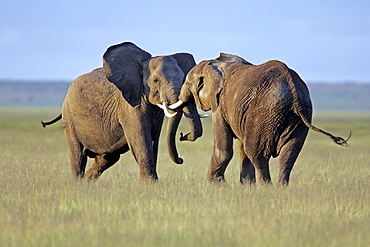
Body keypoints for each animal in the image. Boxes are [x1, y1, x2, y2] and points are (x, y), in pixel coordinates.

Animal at [42, 42, 204, 181]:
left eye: (184, 79)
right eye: (156, 80)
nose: (183, 135)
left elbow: (153, 140)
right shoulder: (129, 106)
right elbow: (141, 138)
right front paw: (150, 184)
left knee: (107, 158)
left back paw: (86, 183)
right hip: (69, 118)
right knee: (78, 155)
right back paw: (78, 184)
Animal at [172, 53, 348, 185]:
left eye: (187, 83)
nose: (182, 135)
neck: (215, 64)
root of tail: (293, 89)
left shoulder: (220, 105)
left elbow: (224, 149)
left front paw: (218, 185)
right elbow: (241, 148)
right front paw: (246, 187)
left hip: (264, 113)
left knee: (257, 153)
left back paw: (266, 189)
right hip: (300, 114)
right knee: (289, 154)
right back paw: (281, 188)